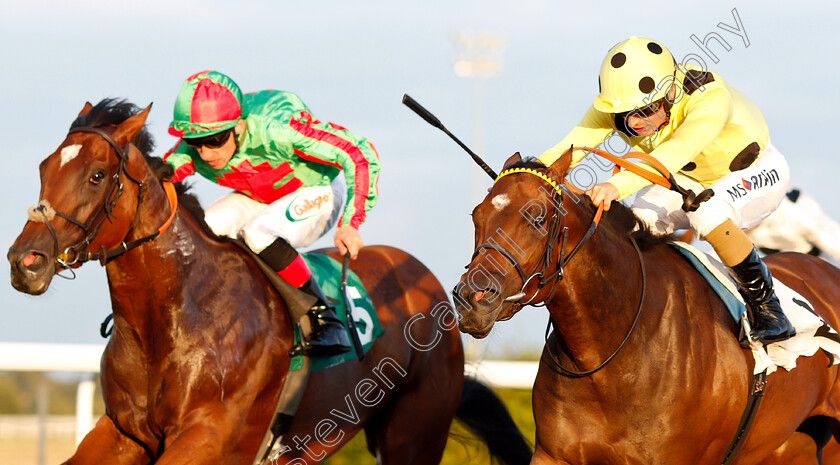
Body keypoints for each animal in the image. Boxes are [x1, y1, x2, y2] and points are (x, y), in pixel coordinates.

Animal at [8, 100, 532, 464]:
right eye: (44, 168)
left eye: (97, 175)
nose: (24, 261)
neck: (173, 318)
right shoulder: (123, 431)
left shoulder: (210, 435)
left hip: (414, 432)